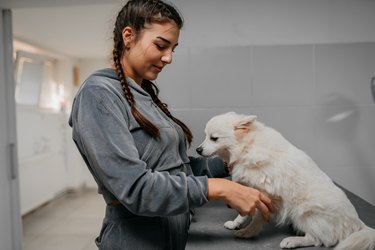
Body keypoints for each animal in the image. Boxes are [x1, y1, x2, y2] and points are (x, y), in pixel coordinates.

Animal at [197, 112, 375, 249]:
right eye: (205, 136)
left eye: (214, 138)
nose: (198, 150)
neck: (248, 146)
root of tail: (355, 222)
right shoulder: (250, 192)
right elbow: (244, 212)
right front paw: (236, 223)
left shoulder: (268, 196)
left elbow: (257, 217)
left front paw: (248, 232)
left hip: (303, 211)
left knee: (318, 239)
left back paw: (293, 241)